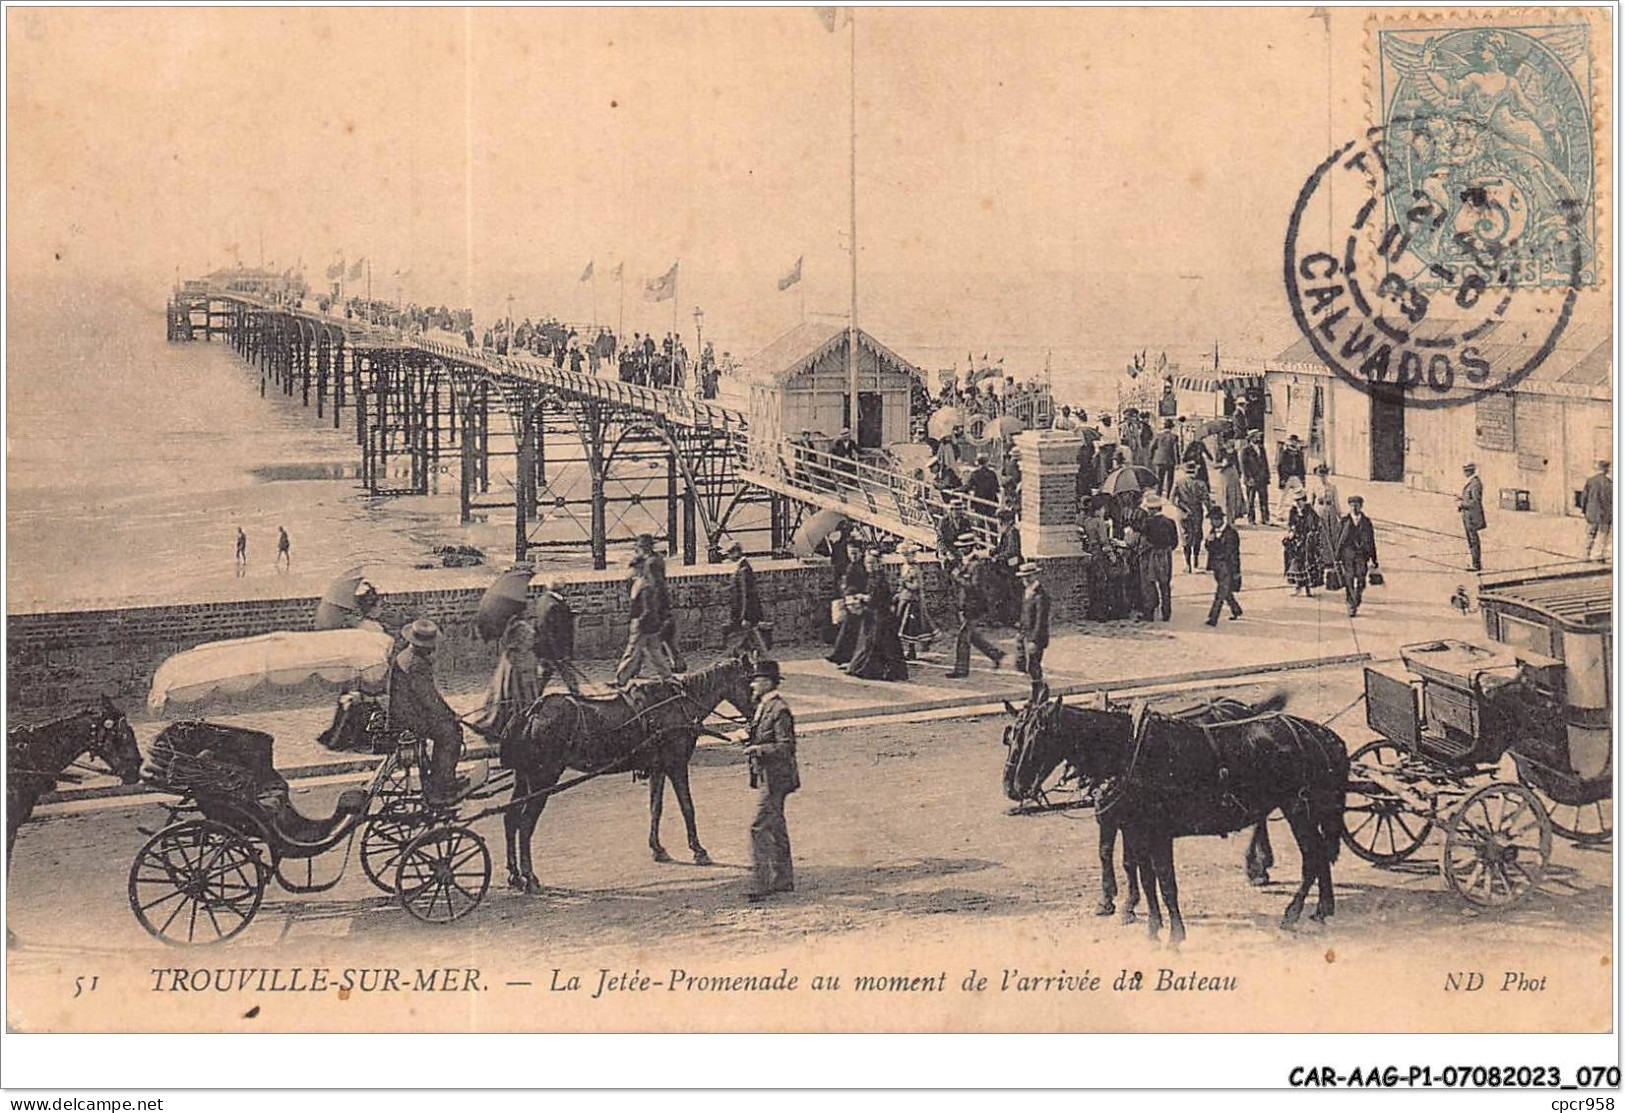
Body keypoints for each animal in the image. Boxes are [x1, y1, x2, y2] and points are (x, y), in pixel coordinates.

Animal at [494, 656, 754, 890]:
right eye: (750, 683)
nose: (755, 716)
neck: (676, 705)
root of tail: (531, 711)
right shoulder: (676, 765)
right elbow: (687, 808)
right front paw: (699, 850)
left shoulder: (658, 768)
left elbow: (656, 808)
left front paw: (657, 848)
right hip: (543, 778)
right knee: (525, 822)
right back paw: (530, 877)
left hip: (524, 777)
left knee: (510, 817)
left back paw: (515, 875)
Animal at [1001, 695, 1345, 935]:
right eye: (1012, 736)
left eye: (1038, 736)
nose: (1012, 786)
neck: (1127, 749)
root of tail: (1320, 734)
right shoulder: (1131, 825)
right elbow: (1139, 872)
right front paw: (1141, 917)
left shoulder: (1154, 830)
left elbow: (1162, 879)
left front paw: (1167, 929)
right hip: (1306, 808)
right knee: (1319, 852)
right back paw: (1321, 906)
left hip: (1298, 808)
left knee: (1312, 857)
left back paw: (1290, 909)